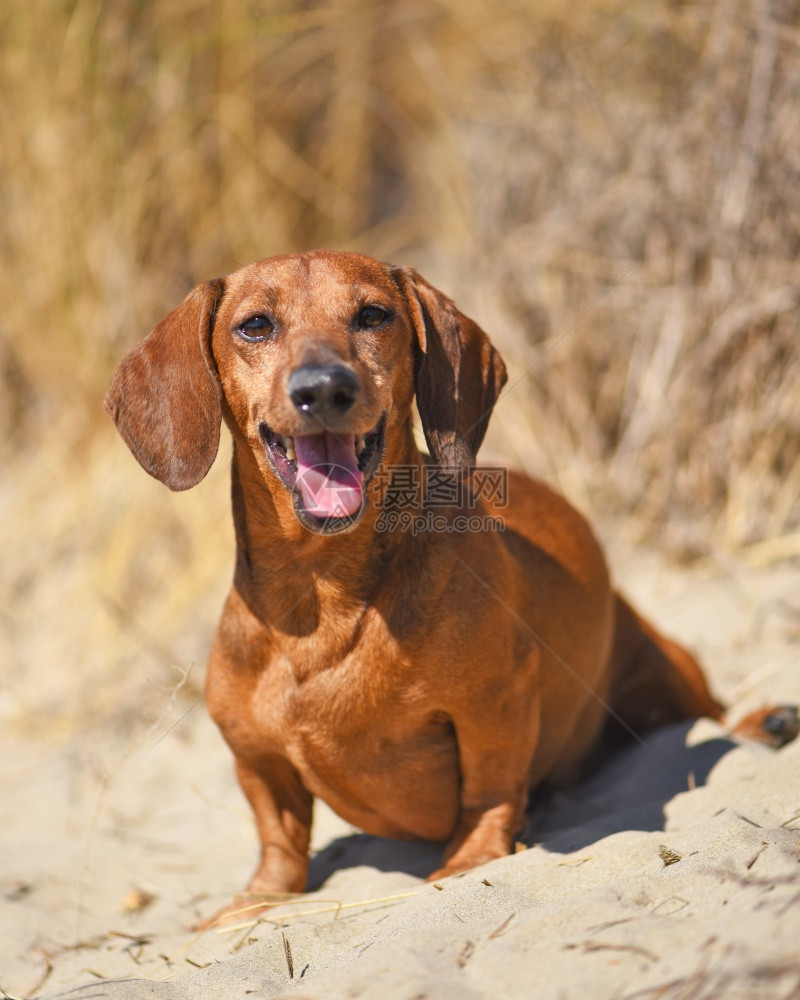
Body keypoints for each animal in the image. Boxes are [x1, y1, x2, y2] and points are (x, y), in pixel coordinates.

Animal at [103, 250, 796, 920]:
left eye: (373, 315)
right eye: (255, 326)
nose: (324, 388)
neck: (322, 593)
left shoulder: (496, 699)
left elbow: (489, 787)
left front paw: (472, 860)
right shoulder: (256, 758)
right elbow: (279, 839)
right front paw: (255, 901)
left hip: (667, 664)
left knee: (713, 714)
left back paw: (766, 722)